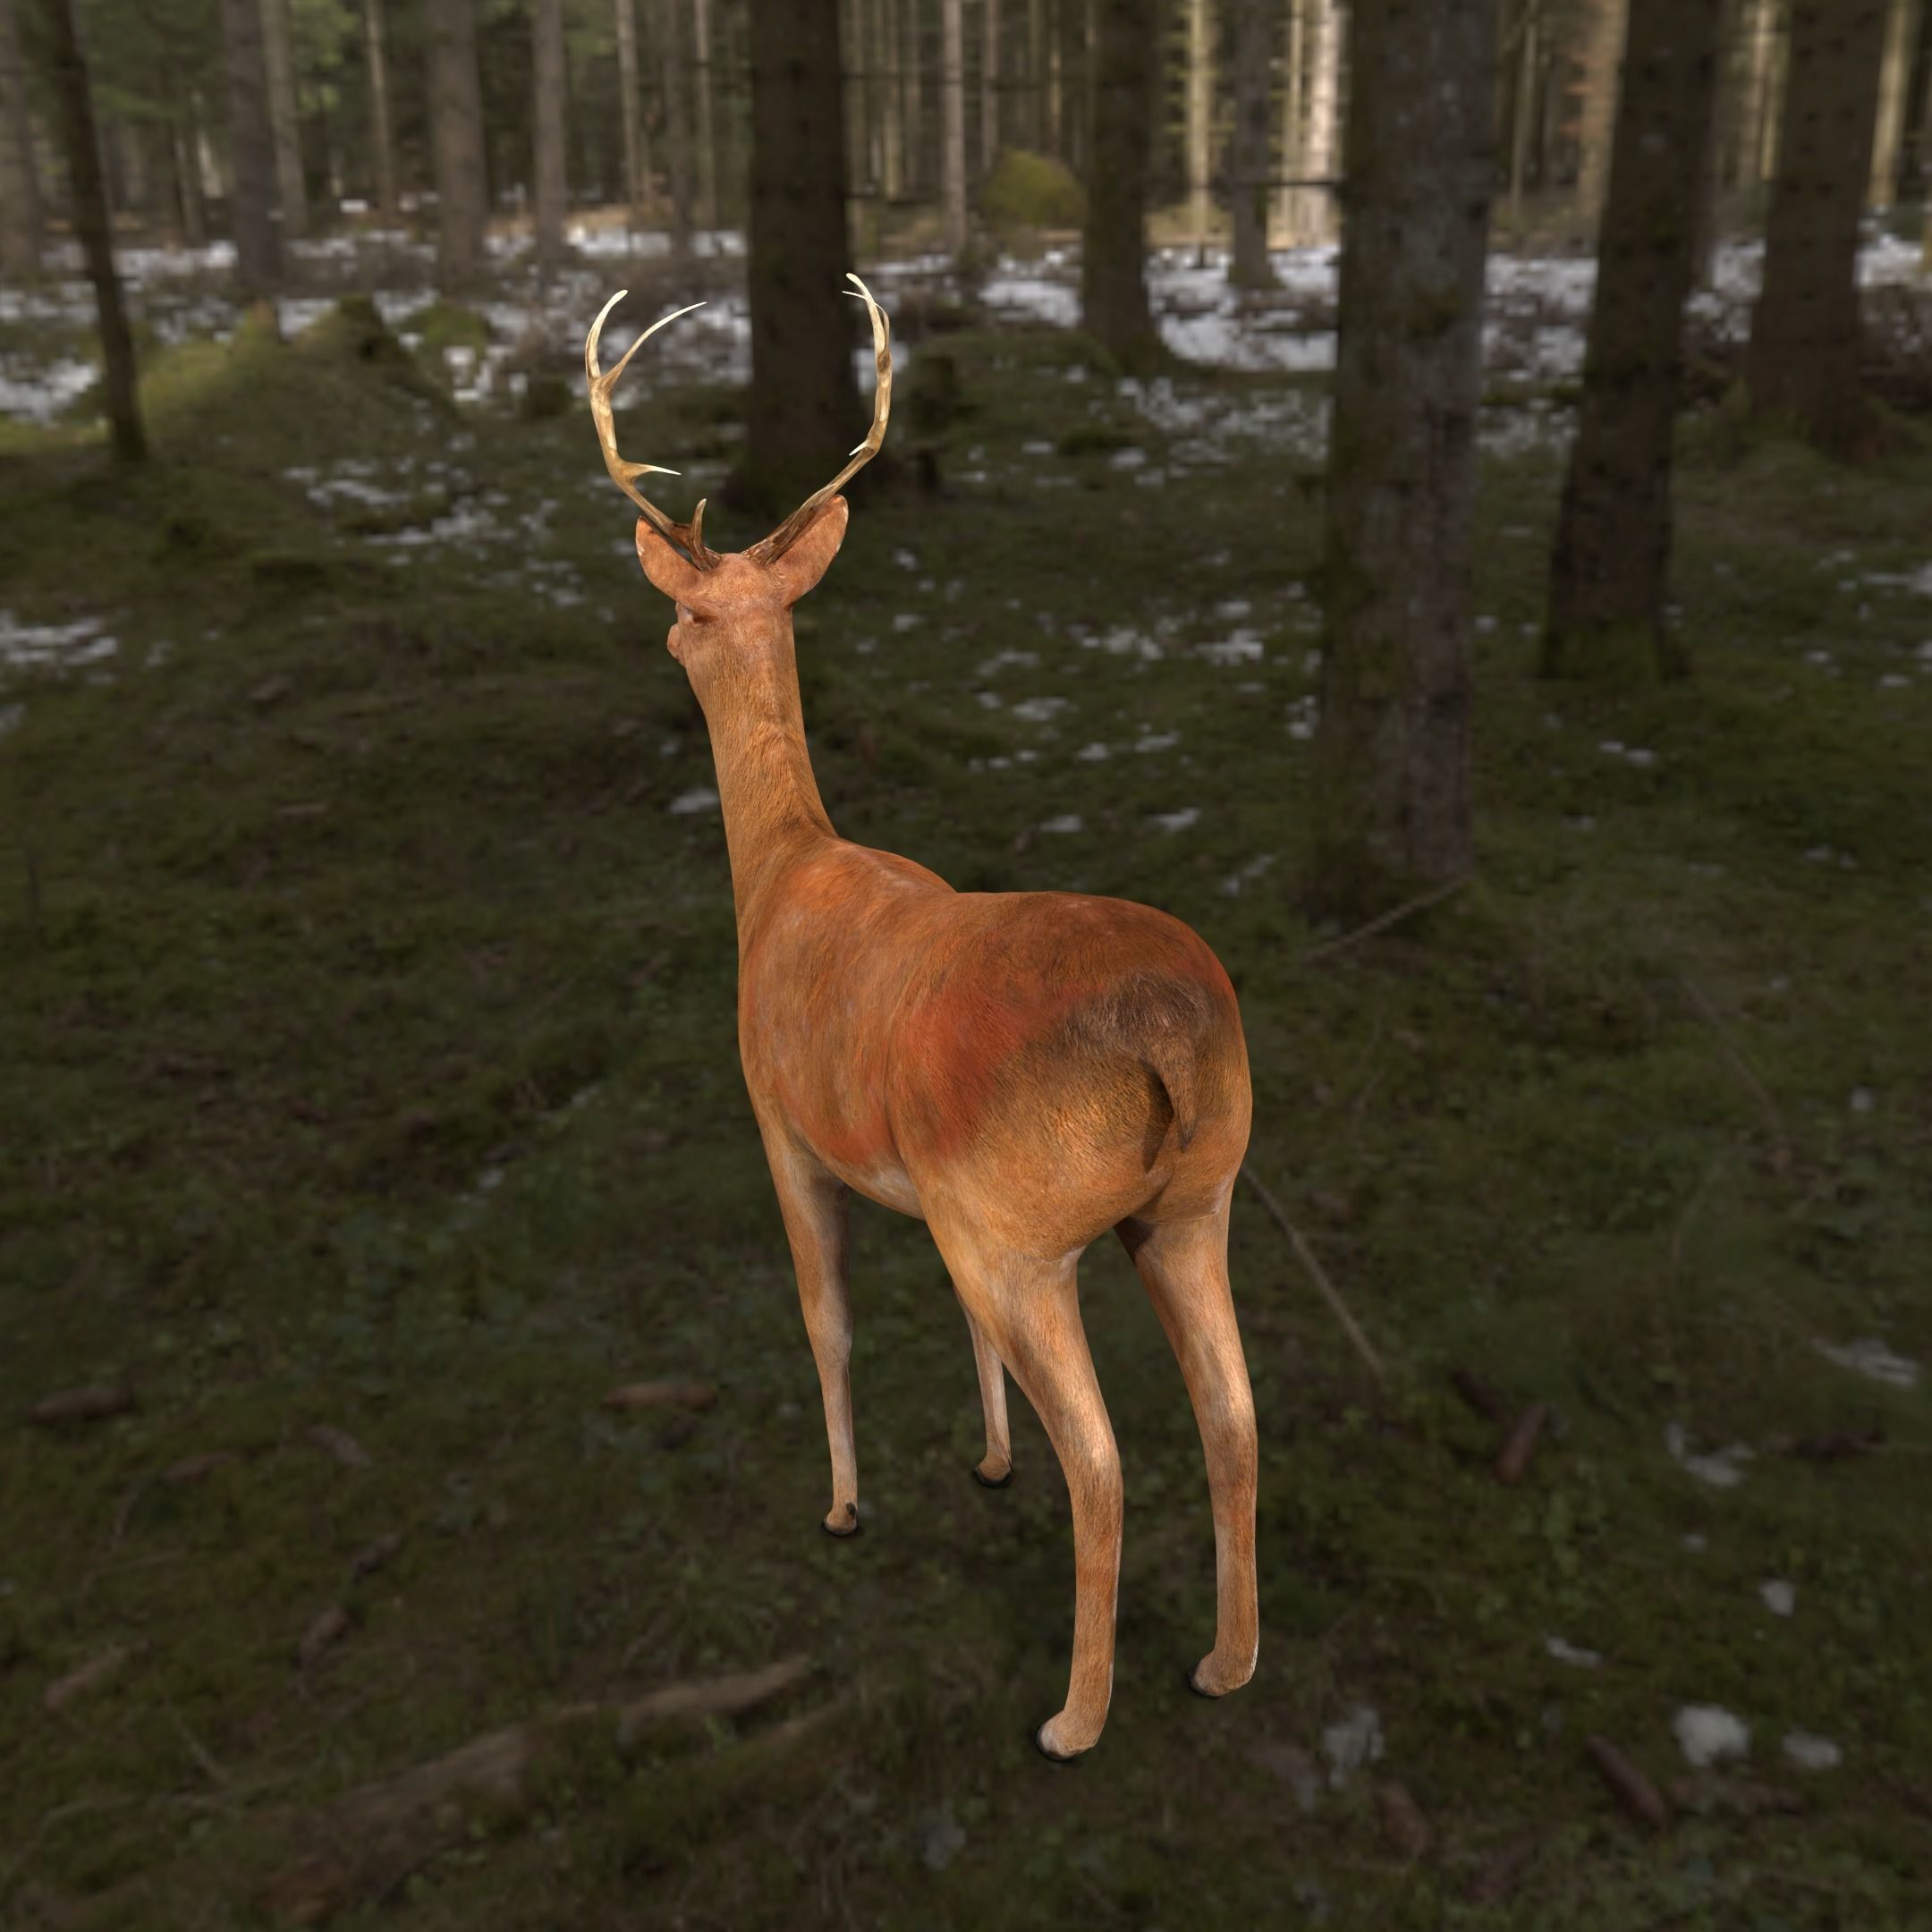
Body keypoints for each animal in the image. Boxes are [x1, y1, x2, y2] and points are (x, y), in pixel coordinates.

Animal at [584, 275, 1258, 1761]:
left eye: (695, 612)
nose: (663, 636)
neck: (782, 875)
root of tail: (1168, 1034)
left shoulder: (781, 1126)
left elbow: (824, 1317)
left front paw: (842, 1504)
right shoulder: (934, 1203)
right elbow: (953, 1334)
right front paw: (988, 1456)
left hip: (1025, 1227)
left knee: (1107, 1462)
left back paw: (1073, 1719)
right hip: (1194, 1200)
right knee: (1237, 1418)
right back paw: (1225, 1666)